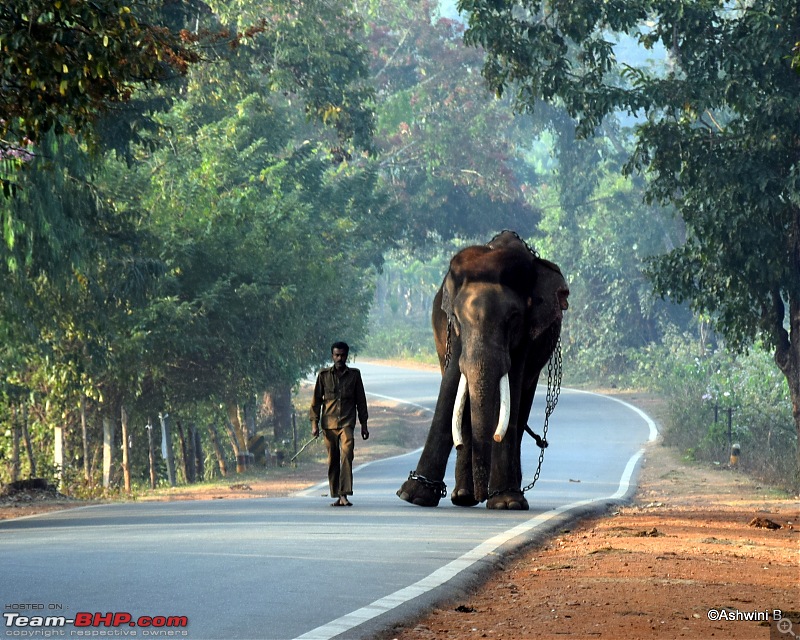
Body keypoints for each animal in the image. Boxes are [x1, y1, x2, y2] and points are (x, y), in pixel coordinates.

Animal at [396, 230, 568, 510]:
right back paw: (463, 496)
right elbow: (451, 385)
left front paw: (506, 502)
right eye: (456, 317)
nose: (481, 496)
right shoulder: (453, 333)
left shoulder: (527, 333)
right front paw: (414, 496)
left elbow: (513, 388)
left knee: (520, 408)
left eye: (513, 319)